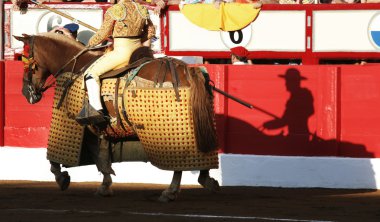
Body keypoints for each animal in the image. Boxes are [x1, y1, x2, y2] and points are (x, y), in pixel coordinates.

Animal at [13, 32, 220, 201]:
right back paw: (207, 181)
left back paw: (170, 191)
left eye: (24, 60)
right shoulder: (100, 129)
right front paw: (105, 186)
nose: (26, 93)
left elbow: (56, 160)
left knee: (178, 162)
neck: (75, 67)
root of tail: (186, 69)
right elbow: (102, 156)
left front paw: (62, 178)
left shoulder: (80, 126)